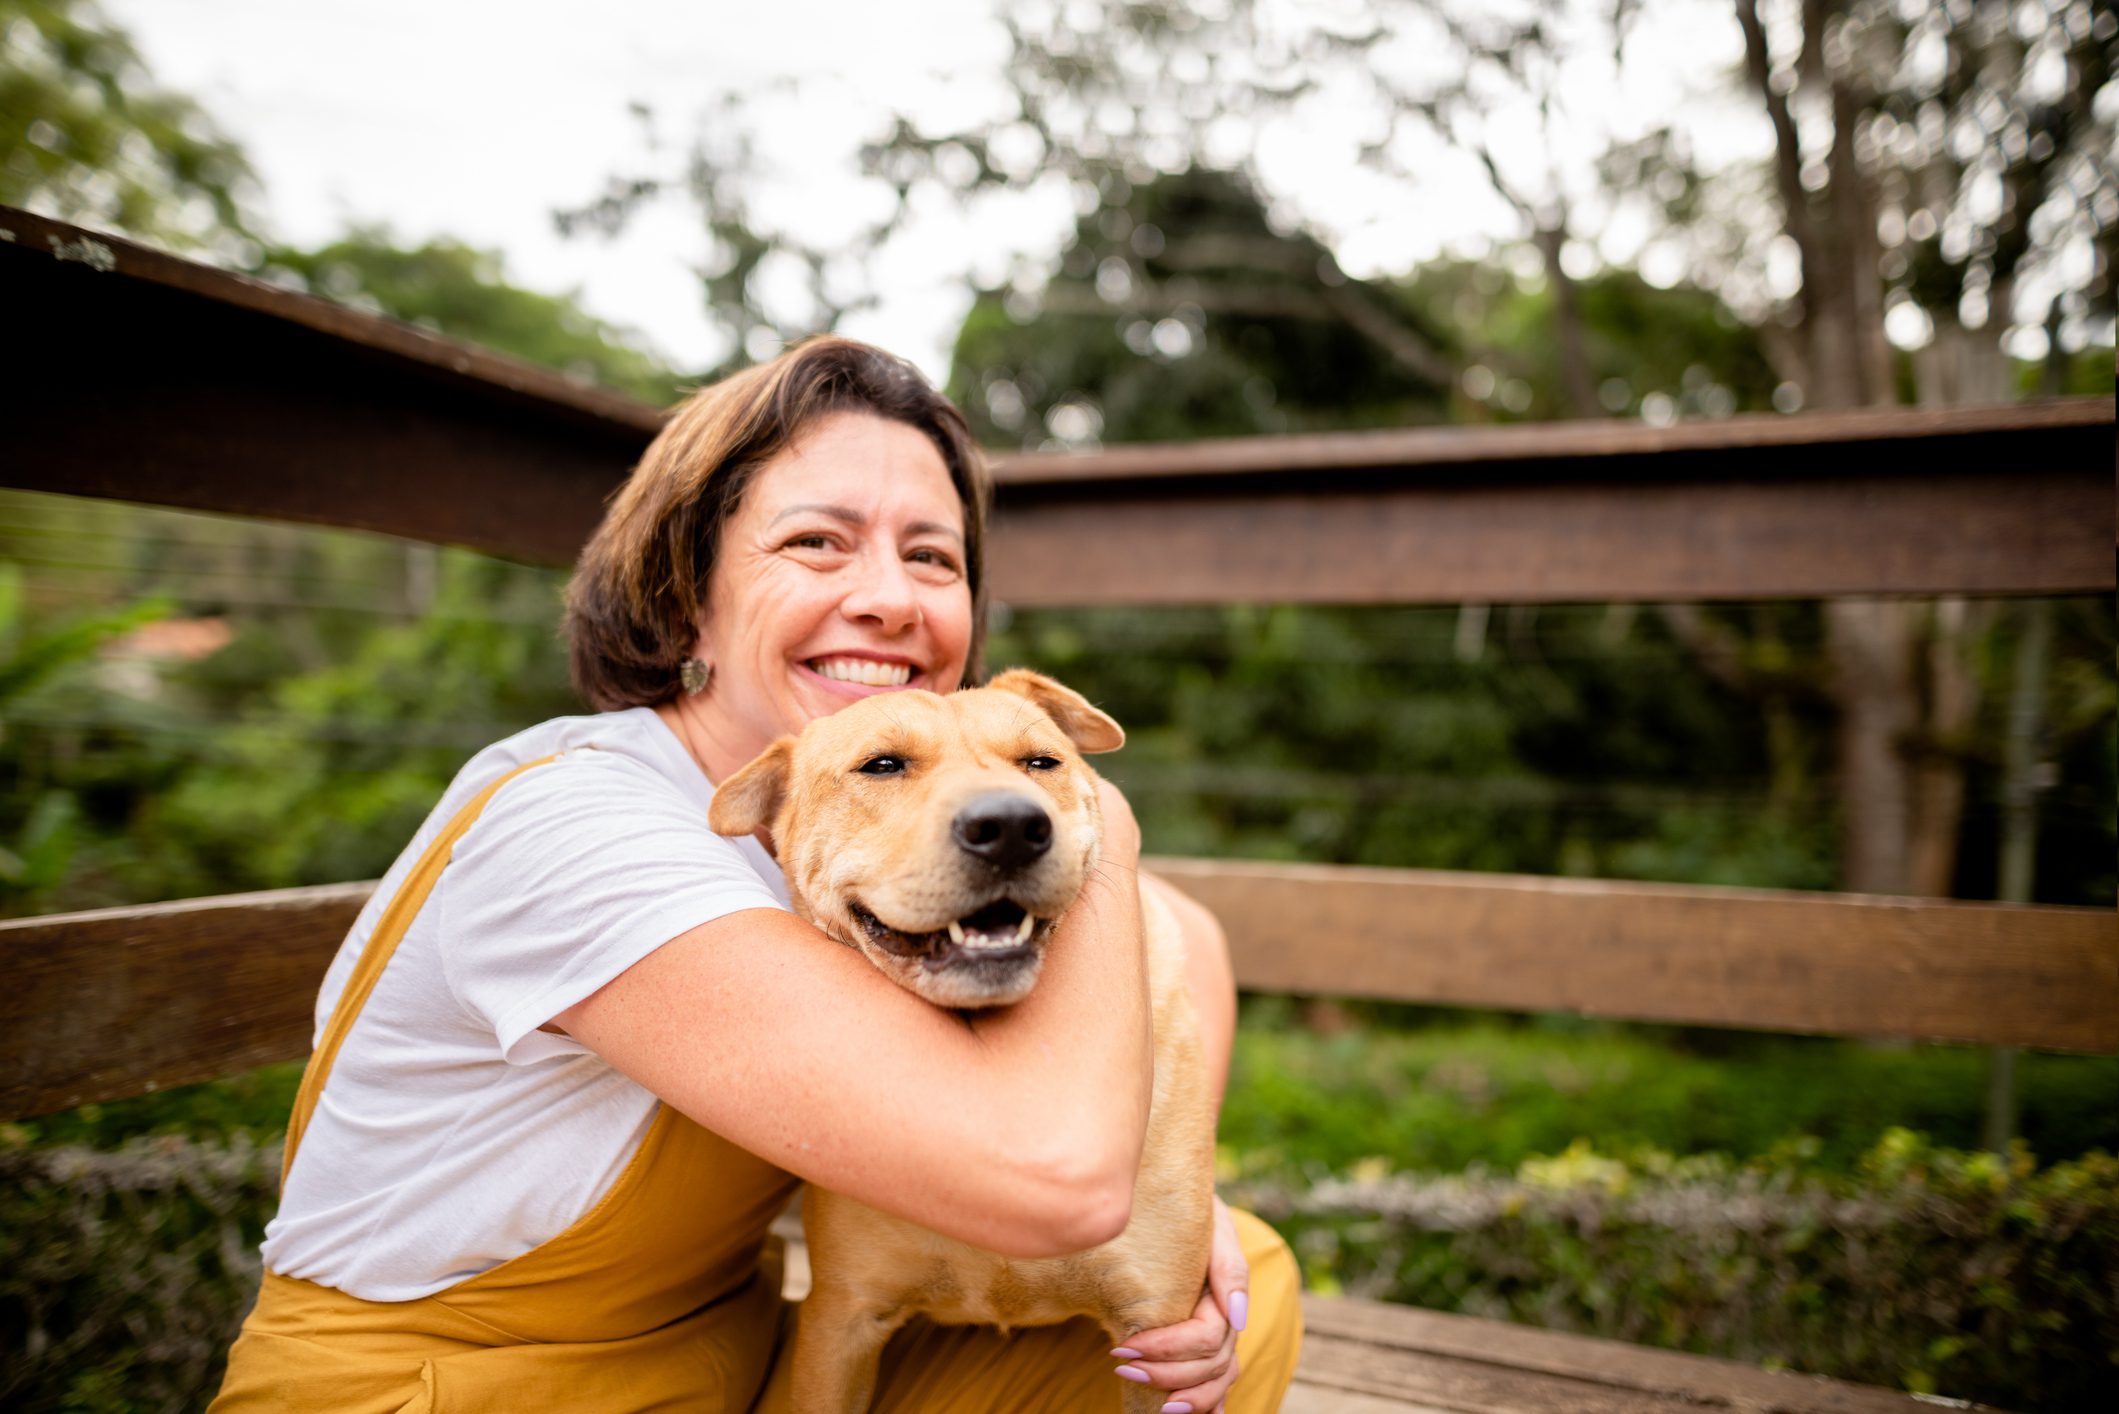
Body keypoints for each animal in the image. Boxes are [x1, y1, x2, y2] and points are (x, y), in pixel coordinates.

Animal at [707, 665, 1212, 1414]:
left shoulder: (1160, 1337)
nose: (1010, 828)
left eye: (1041, 763)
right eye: (882, 765)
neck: (991, 1067)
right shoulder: (841, 1321)